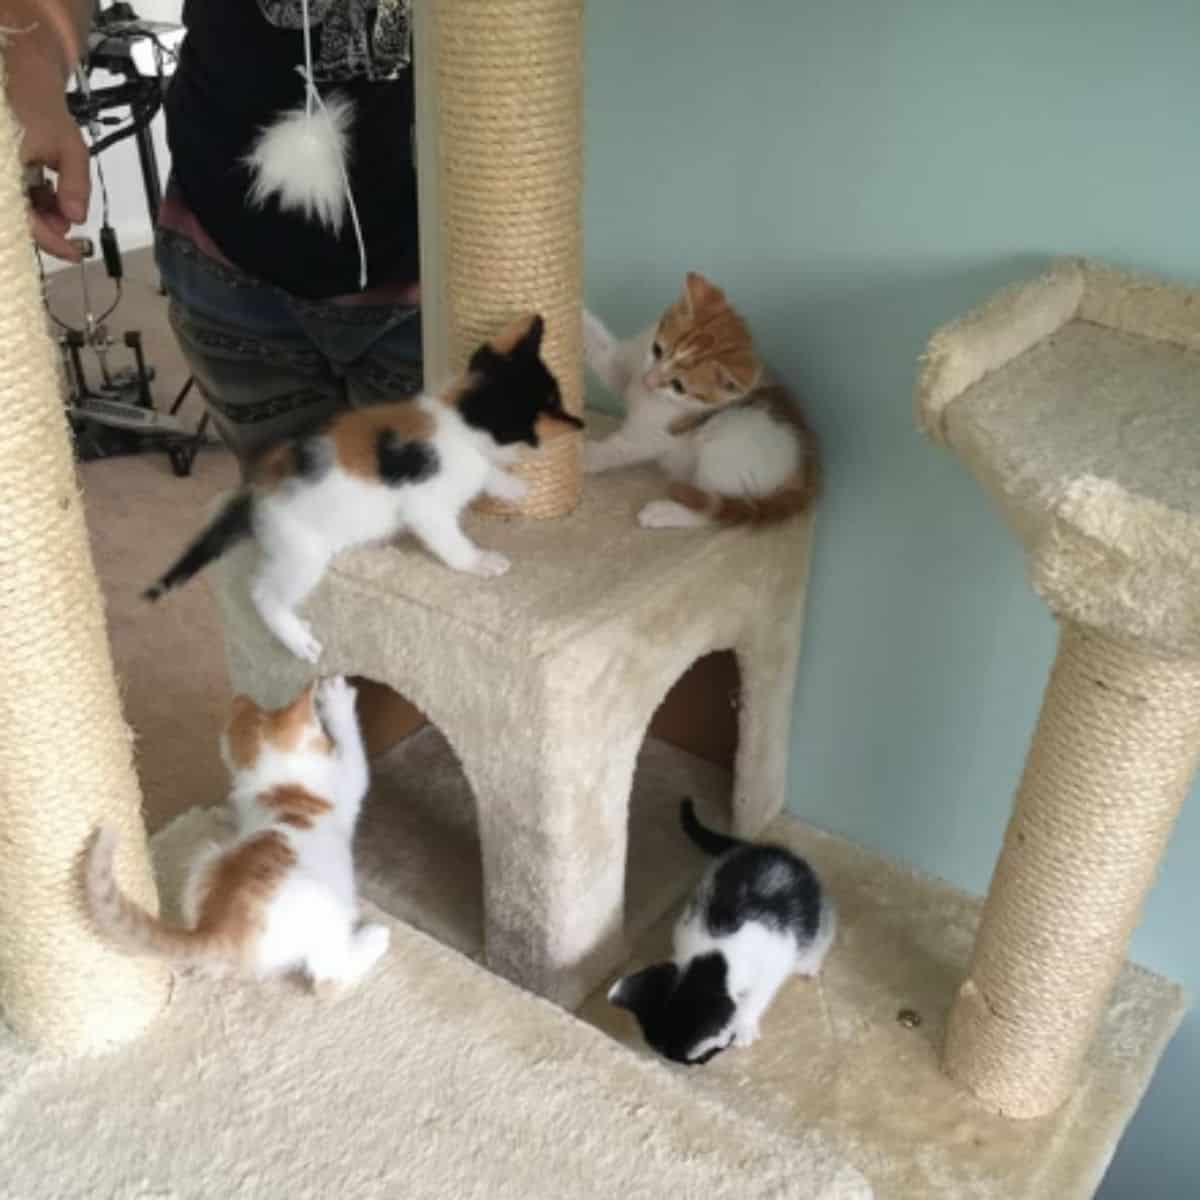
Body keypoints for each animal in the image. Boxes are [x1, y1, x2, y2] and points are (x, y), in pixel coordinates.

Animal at [87, 681, 386, 988]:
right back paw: (375, 937)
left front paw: (224, 814)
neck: (282, 784)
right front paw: (339, 700)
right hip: (329, 911)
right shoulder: (348, 783)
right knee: (327, 978)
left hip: (207, 857)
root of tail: (217, 926)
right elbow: (356, 755)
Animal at [145, 314, 585, 662]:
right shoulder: (425, 505)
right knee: (263, 592)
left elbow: (487, 473)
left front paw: (513, 487)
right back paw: (296, 639)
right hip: (302, 551)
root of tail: (256, 490)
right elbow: (448, 539)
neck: (459, 420)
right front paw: (478, 561)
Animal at [578, 276, 816, 530]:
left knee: (711, 512)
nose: (648, 381)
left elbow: (620, 449)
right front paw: (579, 313)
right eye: (657, 349)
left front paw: (586, 457)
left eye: (678, 386)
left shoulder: (655, 434)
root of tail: (805, 476)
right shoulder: (626, 372)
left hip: (727, 440)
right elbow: (605, 353)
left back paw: (664, 512)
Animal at [609, 801, 835, 1065]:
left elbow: (758, 996)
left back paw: (809, 963)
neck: (717, 951)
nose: (688, 1066)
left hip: (818, 916)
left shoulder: (775, 960)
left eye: (696, 1058)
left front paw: (744, 1026)